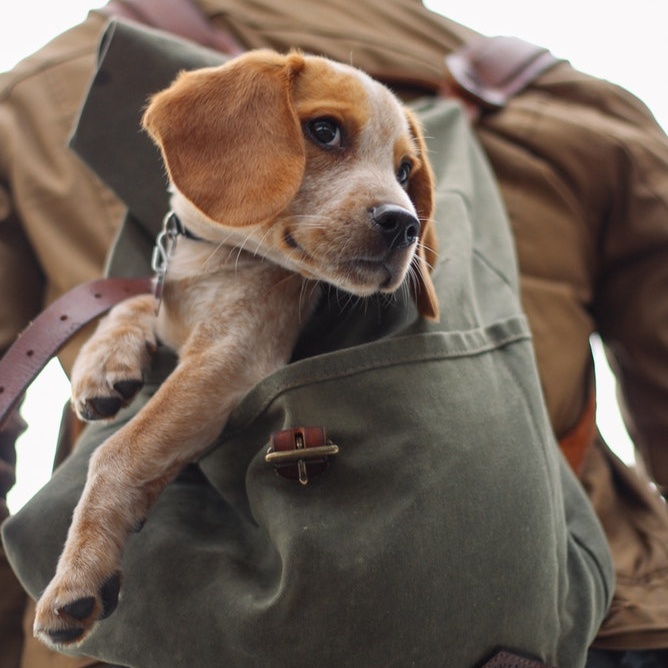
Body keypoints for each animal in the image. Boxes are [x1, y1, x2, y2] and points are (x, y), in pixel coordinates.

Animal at [35, 48, 438, 648]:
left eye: (405, 172)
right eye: (324, 130)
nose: (405, 225)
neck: (211, 259)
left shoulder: (228, 358)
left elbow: (117, 454)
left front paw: (79, 570)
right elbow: (135, 301)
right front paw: (103, 362)